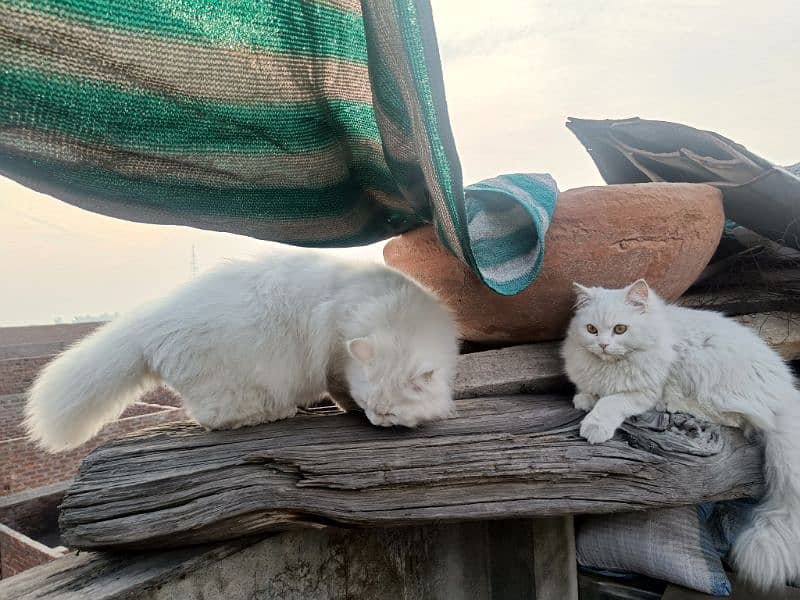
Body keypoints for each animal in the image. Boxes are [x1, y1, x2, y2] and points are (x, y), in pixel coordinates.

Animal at [25, 247, 460, 450]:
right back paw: (276, 413)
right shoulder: (335, 355)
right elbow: (339, 389)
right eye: (375, 407)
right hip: (230, 385)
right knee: (214, 418)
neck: (396, 312)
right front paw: (348, 408)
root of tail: (151, 319)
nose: (375, 420)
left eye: (387, 411)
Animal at [564, 280, 800, 592]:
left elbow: (611, 402)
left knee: (736, 418)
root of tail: (785, 390)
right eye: (591, 329)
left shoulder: (643, 392)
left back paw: (676, 405)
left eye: (620, 329)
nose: (603, 345)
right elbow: (589, 392)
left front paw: (594, 426)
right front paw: (584, 399)